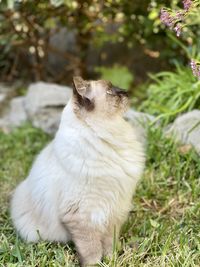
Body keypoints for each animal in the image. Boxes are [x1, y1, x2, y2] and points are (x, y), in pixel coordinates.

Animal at [10, 76, 145, 266]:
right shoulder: (82, 216)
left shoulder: (113, 212)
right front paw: (96, 264)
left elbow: (109, 245)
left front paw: (111, 260)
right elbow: (92, 249)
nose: (126, 92)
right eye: (110, 92)